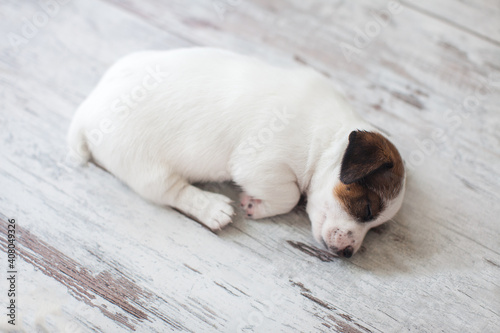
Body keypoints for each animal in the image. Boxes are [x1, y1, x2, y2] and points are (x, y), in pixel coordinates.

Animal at [68, 47, 404, 256]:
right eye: (367, 209)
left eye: (376, 227)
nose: (348, 254)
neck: (326, 138)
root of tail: (86, 112)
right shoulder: (261, 164)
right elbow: (289, 195)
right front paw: (255, 204)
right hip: (147, 169)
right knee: (171, 192)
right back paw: (212, 209)